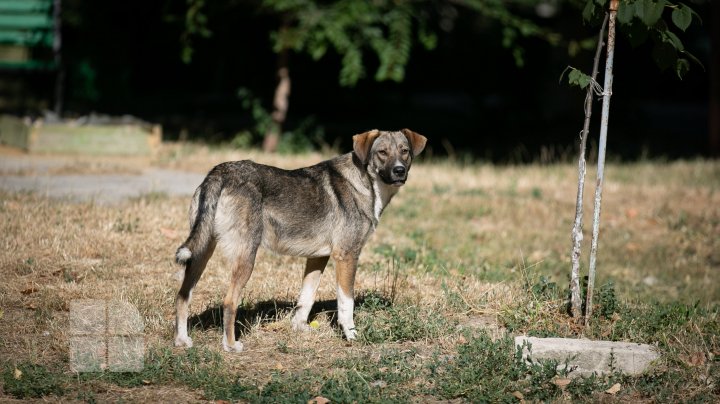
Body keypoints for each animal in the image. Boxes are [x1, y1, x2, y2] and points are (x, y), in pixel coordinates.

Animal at [172, 129, 424, 350]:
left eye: (404, 151)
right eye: (382, 152)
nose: (399, 171)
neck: (366, 184)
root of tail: (221, 171)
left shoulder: (318, 258)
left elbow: (306, 298)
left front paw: (299, 328)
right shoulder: (347, 256)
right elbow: (346, 304)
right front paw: (351, 336)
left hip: (201, 252)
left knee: (182, 295)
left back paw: (182, 341)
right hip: (246, 257)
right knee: (229, 302)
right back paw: (231, 345)